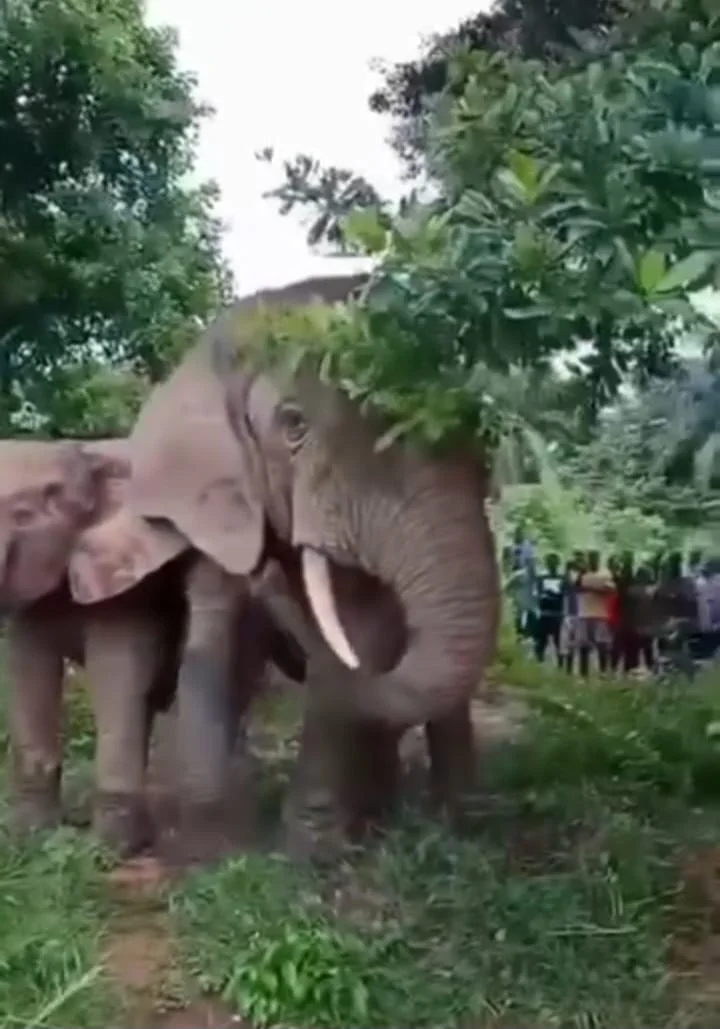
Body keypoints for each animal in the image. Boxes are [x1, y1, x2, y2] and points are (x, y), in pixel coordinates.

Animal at [0, 437, 306, 858]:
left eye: (24, 516)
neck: (82, 456)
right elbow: (28, 666)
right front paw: (27, 834)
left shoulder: (132, 580)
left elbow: (115, 668)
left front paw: (113, 850)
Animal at [88, 271, 500, 857]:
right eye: (293, 425)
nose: (271, 581)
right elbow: (214, 633)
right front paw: (217, 847)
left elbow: (360, 634)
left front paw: (312, 849)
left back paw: (443, 822)